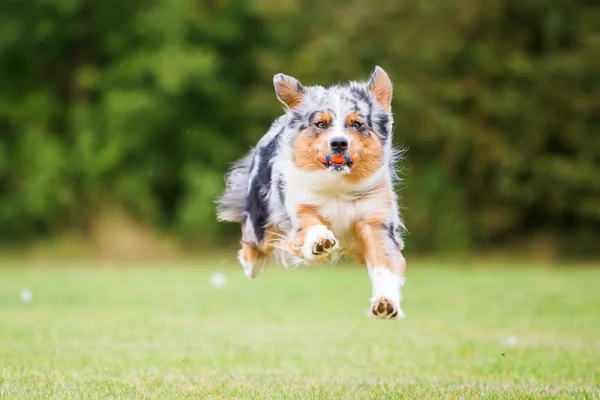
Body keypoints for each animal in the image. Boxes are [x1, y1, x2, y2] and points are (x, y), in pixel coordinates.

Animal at [217, 68, 408, 318]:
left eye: (357, 124)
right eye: (320, 123)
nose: (339, 143)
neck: (338, 186)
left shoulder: (376, 220)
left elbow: (384, 263)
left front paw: (386, 302)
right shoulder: (299, 206)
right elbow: (310, 225)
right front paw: (320, 241)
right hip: (261, 219)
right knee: (254, 240)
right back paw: (251, 265)